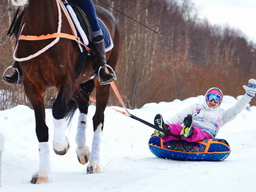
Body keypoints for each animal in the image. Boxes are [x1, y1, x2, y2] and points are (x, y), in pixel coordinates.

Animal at [10, 0, 120, 184]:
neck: (40, 29)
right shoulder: (32, 86)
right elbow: (41, 128)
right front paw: (42, 172)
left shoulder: (65, 80)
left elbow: (58, 109)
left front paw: (61, 145)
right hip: (76, 84)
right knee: (83, 103)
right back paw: (82, 149)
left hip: (101, 82)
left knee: (98, 119)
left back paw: (94, 163)